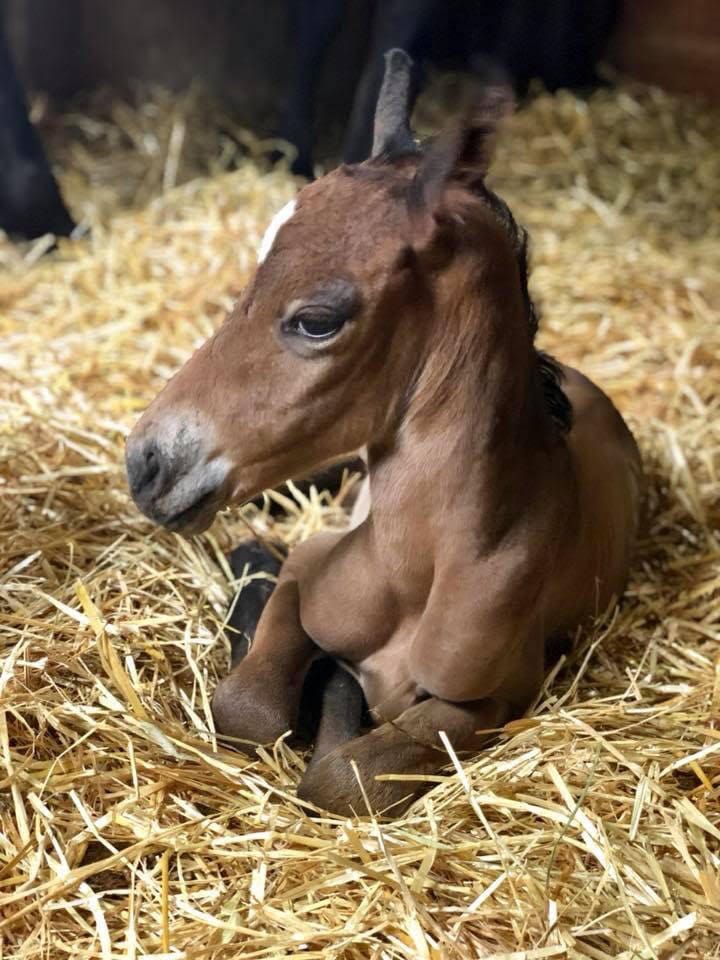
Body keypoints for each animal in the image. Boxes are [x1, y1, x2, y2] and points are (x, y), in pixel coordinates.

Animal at [126, 49, 642, 817]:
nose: (148, 462)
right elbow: (245, 707)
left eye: (318, 319)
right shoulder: (310, 567)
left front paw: (339, 691)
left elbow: (345, 778)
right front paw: (260, 577)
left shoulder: (496, 697)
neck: (414, 565)